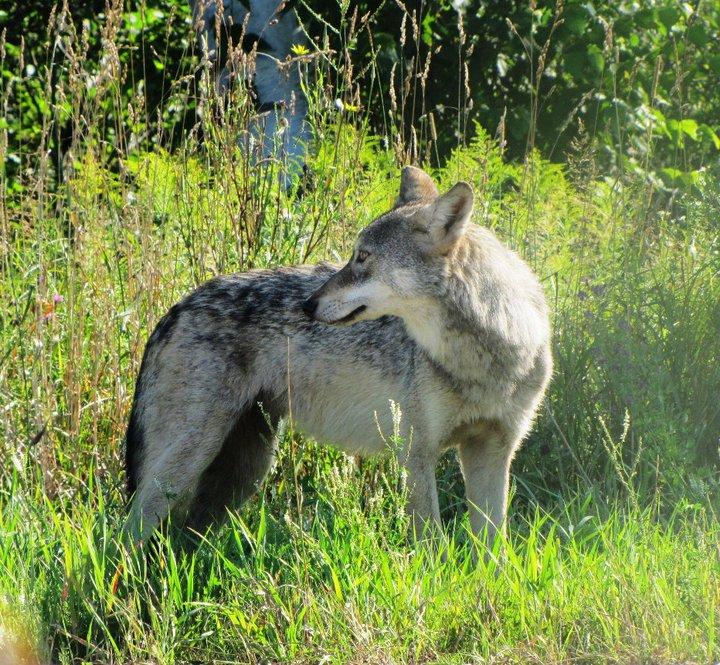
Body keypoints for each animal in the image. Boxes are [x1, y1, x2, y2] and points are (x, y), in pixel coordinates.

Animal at [125, 166, 552, 544]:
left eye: (362, 257)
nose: (307, 305)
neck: (487, 353)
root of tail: (176, 307)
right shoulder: (416, 455)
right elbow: (432, 545)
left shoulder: (494, 451)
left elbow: (492, 549)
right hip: (188, 460)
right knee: (128, 532)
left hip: (243, 471)